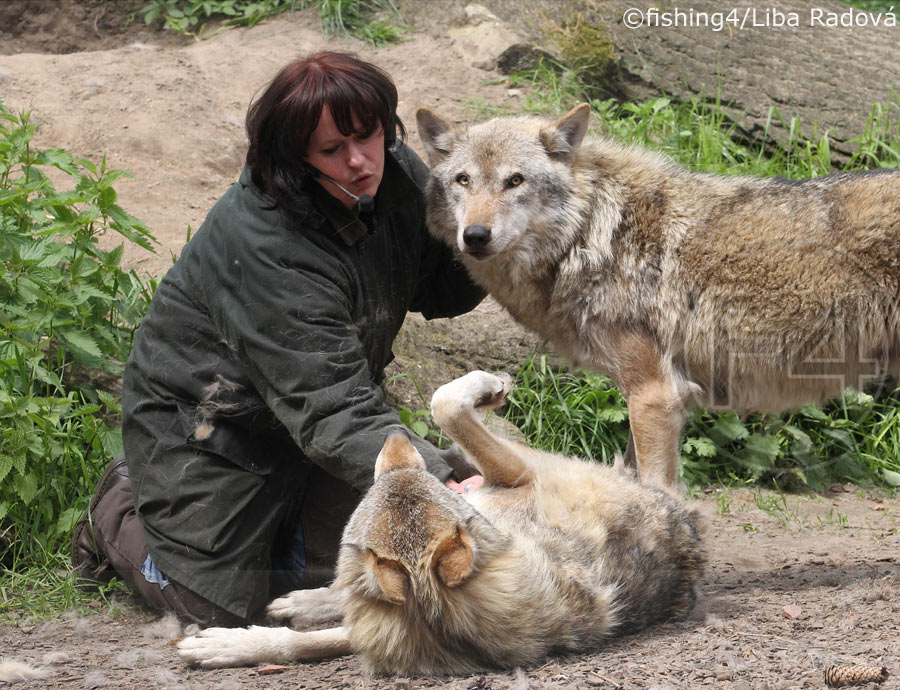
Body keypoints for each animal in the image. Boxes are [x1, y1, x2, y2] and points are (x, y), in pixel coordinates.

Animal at [179, 370, 708, 672]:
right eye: (391, 479)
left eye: (406, 477)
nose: (394, 437)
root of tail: (681, 512)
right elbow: (306, 644)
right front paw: (234, 646)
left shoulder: (515, 474)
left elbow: (445, 402)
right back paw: (301, 601)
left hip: (515, 463)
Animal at [414, 105, 900, 486]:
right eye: (462, 180)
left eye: (515, 180)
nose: (475, 235)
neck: (590, 236)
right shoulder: (646, 394)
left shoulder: (655, 394)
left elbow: (654, 485)